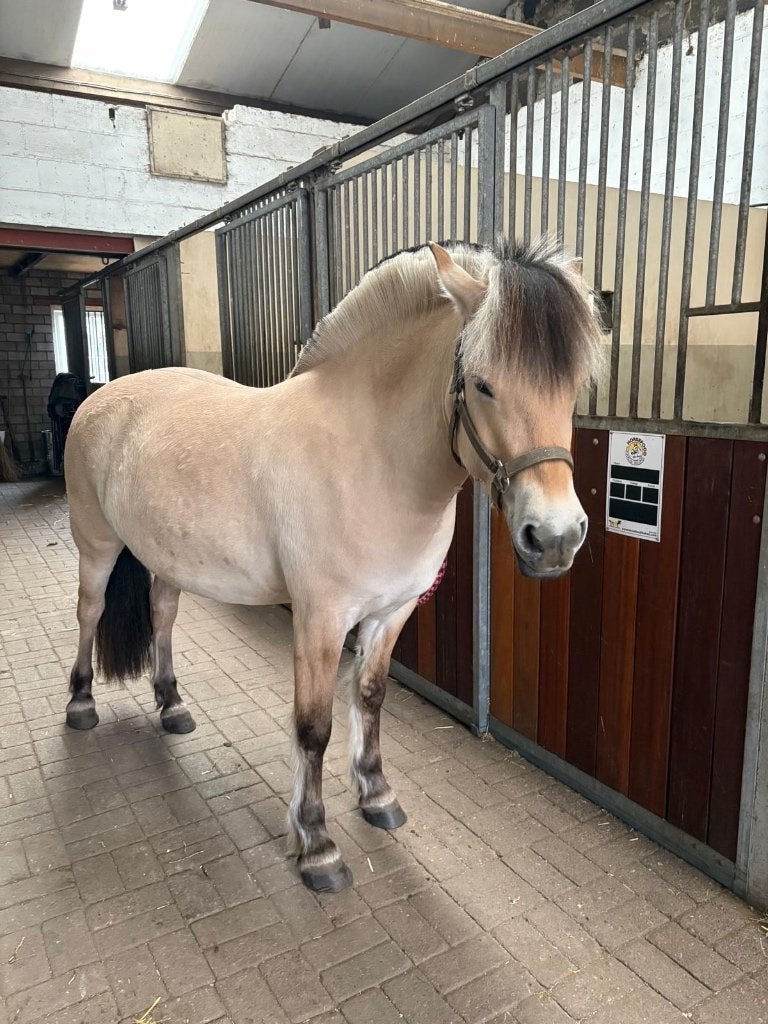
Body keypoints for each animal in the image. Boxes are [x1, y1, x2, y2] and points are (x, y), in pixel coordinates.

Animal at [63, 238, 602, 892]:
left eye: (572, 388)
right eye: (483, 385)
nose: (554, 538)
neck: (370, 456)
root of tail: (103, 395)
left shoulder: (393, 612)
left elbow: (369, 697)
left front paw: (377, 796)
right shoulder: (319, 620)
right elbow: (313, 727)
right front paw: (316, 844)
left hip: (166, 557)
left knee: (162, 617)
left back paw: (172, 706)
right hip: (96, 546)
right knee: (89, 614)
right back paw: (81, 705)